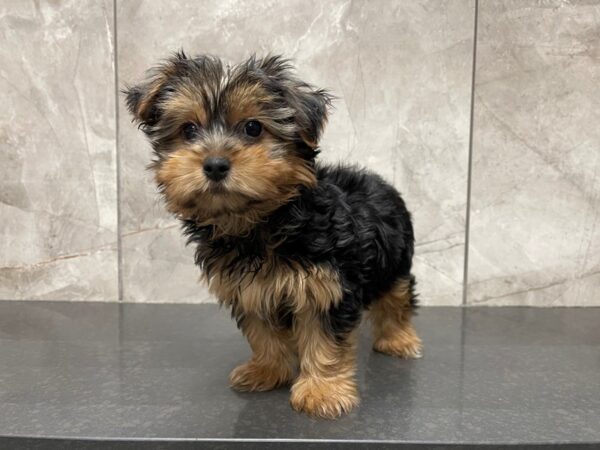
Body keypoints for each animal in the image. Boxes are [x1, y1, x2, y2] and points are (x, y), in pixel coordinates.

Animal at [124, 52, 422, 418]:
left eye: (253, 128)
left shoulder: (327, 286)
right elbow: (262, 333)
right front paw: (266, 370)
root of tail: (380, 182)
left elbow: (325, 339)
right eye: (188, 130)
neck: (259, 223)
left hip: (395, 260)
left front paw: (322, 391)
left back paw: (398, 338)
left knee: (397, 297)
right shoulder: (249, 289)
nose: (215, 164)